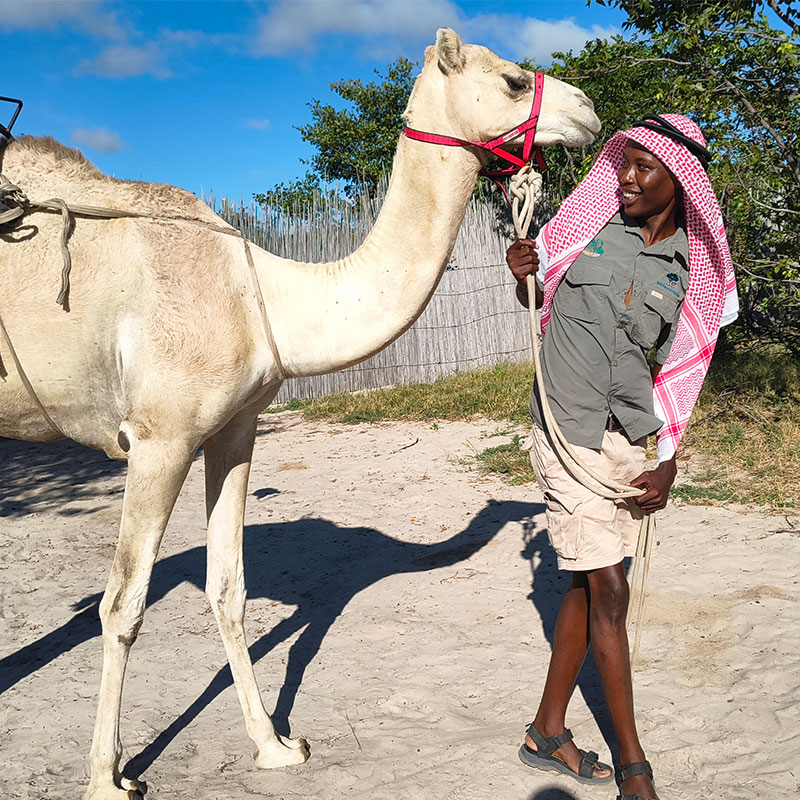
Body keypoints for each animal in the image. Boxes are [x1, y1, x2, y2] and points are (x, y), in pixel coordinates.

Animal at [0, 28, 599, 800]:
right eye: (515, 81)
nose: (587, 110)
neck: (262, 294)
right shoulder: (160, 437)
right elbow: (124, 603)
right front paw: (108, 778)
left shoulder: (233, 429)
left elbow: (228, 588)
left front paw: (276, 745)